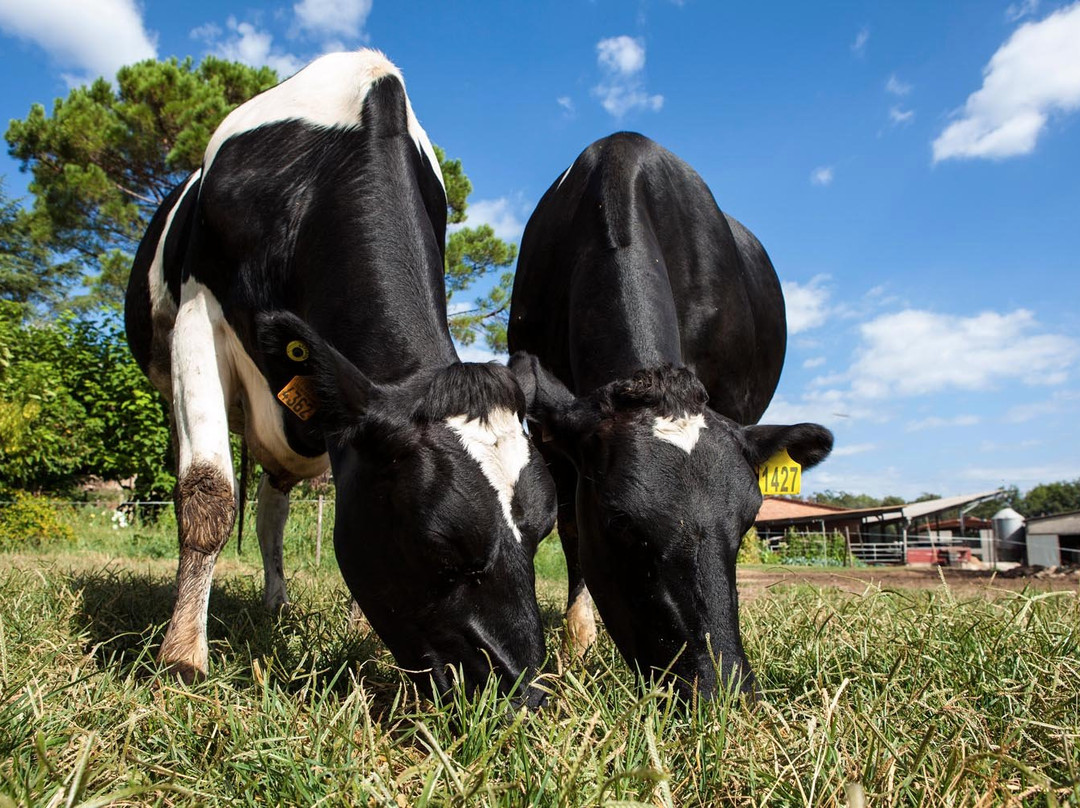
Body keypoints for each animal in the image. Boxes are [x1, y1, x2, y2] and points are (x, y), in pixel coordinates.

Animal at [126, 50, 557, 704]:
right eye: (437, 543)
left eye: (544, 530)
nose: (522, 692)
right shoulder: (199, 312)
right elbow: (209, 493)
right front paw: (182, 659)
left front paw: (358, 633)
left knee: (272, 508)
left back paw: (276, 604)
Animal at [507, 133, 833, 699]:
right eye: (618, 522)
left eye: (748, 519)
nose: (721, 689)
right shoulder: (551, 431)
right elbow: (570, 529)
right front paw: (578, 645)